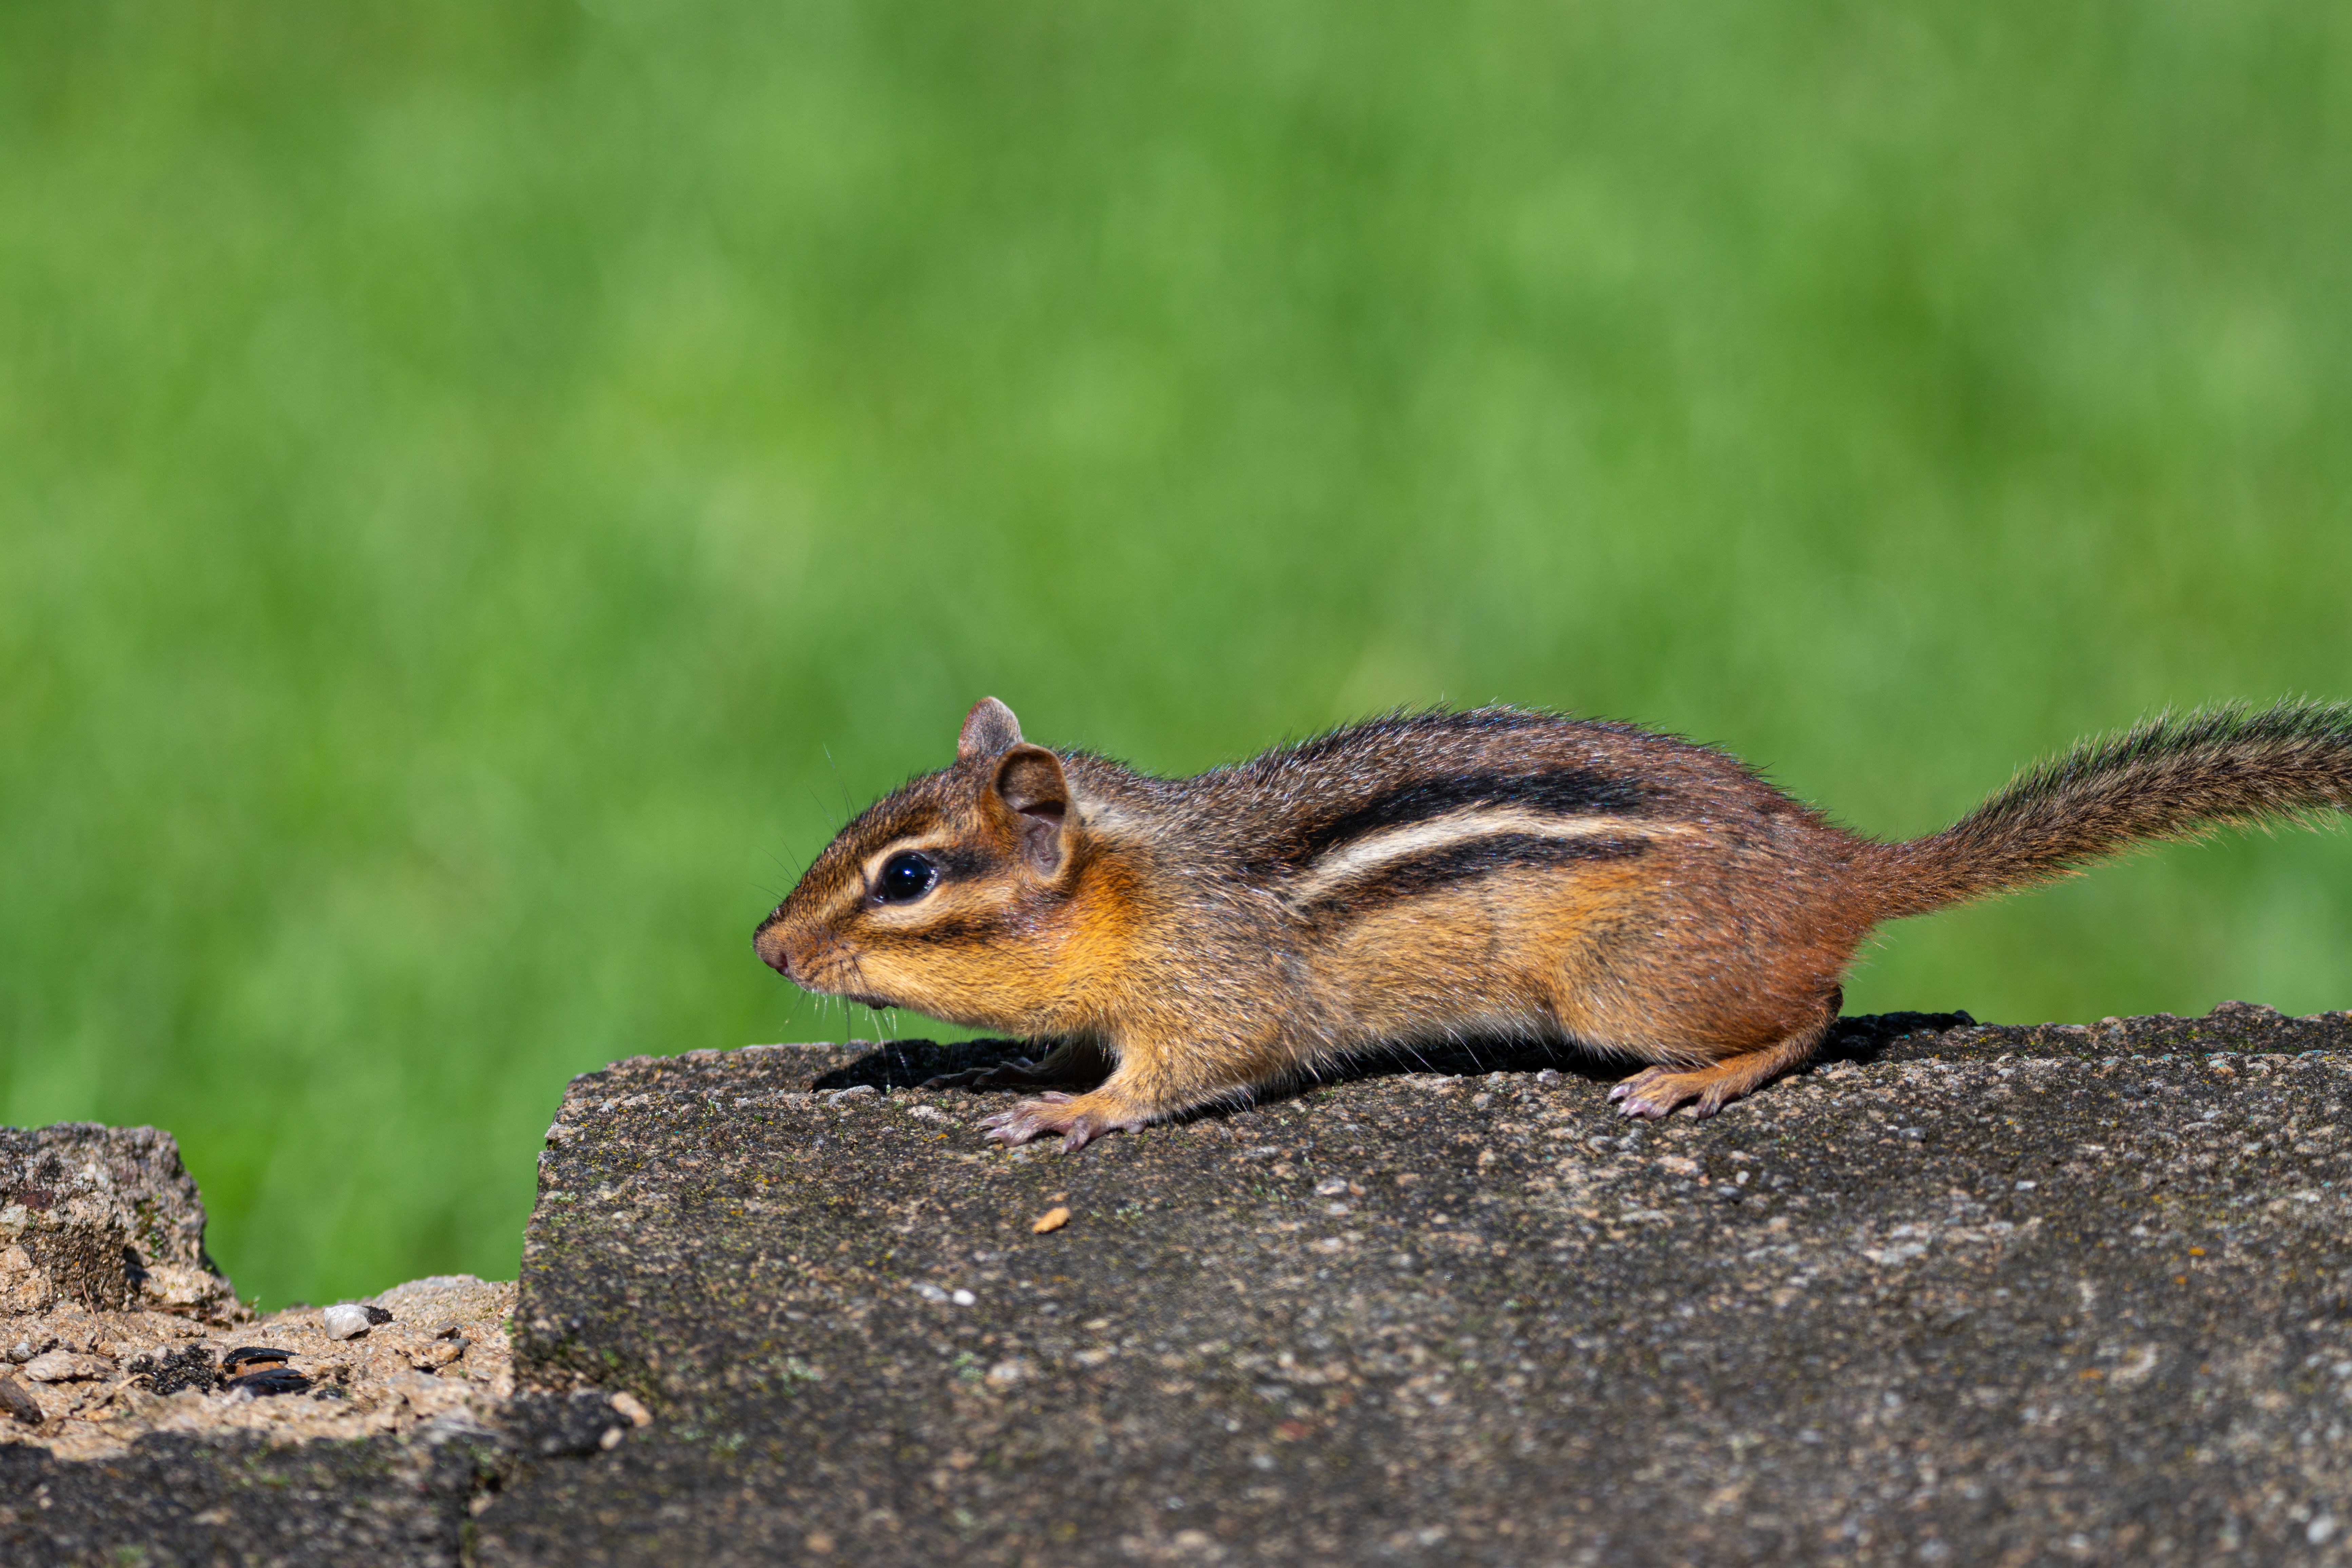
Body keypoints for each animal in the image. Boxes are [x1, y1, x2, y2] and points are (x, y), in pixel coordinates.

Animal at [753, 696, 2352, 1150]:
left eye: (907, 877)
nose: (768, 947)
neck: (1134, 879)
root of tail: (1840, 861)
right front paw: (1028, 1060)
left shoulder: (1220, 982)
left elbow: (1187, 1067)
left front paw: (1072, 1111)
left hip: (1620, 988)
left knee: (1817, 1012)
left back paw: (1703, 1078)